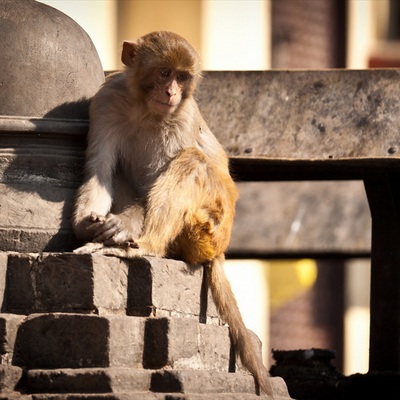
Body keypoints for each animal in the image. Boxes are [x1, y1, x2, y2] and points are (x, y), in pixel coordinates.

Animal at [72, 31, 274, 396]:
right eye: (165, 73)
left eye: (182, 77)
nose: (171, 93)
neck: (143, 109)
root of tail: (219, 250)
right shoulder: (106, 102)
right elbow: (100, 170)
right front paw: (86, 226)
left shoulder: (182, 118)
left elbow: (159, 178)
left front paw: (119, 228)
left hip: (212, 223)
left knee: (191, 161)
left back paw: (143, 246)